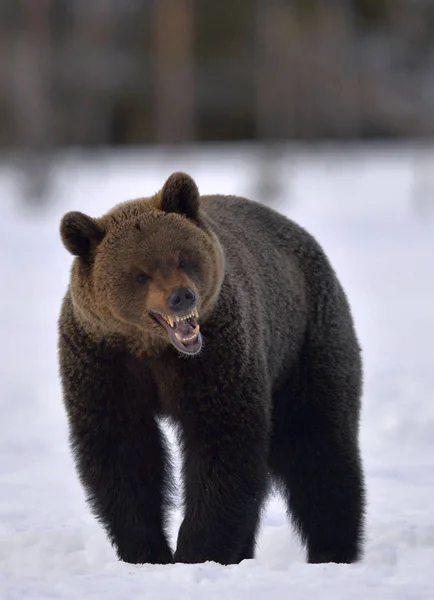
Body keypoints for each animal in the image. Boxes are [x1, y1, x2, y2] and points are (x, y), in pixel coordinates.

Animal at [56, 171, 362, 564]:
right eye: (139, 273)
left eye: (183, 258)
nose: (181, 296)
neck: (154, 349)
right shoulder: (104, 365)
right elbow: (123, 453)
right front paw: (147, 551)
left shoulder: (217, 359)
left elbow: (222, 446)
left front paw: (196, 550)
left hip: (304, 343)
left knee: (319, 446)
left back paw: (333, 550)